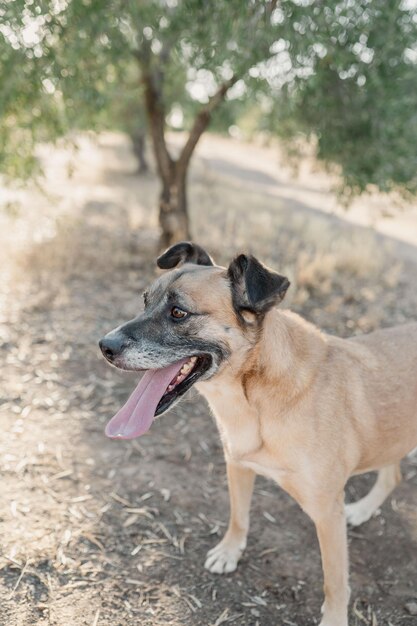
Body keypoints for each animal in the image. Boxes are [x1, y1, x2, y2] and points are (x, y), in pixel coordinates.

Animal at [100, 241, 416, 620]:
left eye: (178, 313)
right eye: (145, 301)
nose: (104, 346)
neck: (254, 399)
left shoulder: (327, 513)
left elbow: (335, 582)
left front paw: (334, 618)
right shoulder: (237, 464)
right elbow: (239, 516)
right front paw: (229, 551)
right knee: (392, 474)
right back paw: (364, 509)